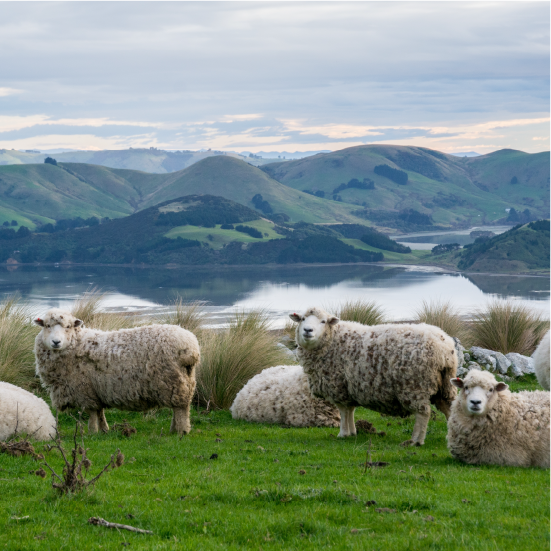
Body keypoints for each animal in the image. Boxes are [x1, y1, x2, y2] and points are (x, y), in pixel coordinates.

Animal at [33, 310, 201, 436]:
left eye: (68, 326)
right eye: (47, 326)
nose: (56, 342)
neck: (75, 343)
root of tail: (191, 348)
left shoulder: (84, 390)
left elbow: (92, 413)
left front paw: (92, 431)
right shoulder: (96, 391)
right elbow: (100, 412)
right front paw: (103, 430)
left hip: (174, 382)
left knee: (180, 408)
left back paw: (181, 431)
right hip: (185, 381)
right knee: (181, 408)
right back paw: (175, 429)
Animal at [288, 308, 458, 446]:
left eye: (323, 321)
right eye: (303, 319)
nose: (308, 330)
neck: (332, 340)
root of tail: (444, 348)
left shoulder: (338, 386)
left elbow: (343, 411)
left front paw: (343, 433)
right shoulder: (349, 387)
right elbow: (350, 411)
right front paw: (352, 432)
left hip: (414, 385)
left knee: (423, 413)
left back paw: (416, 440)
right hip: (444, 386)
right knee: (449, 408)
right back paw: (451, 436)